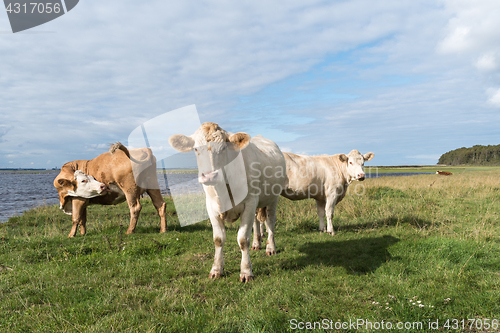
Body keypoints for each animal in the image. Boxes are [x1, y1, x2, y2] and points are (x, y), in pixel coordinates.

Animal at [169, 120, 288, 282]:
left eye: (223, 148)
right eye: (195, 149)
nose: (209, 176)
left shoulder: (250, 202)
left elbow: (243, 239)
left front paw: (246, 272)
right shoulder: (211, 206)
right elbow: (218, 239)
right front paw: (216, 269)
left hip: (273, 198)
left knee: (270, 222)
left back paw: (271, 248)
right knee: (256, 222)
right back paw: (257, 243)